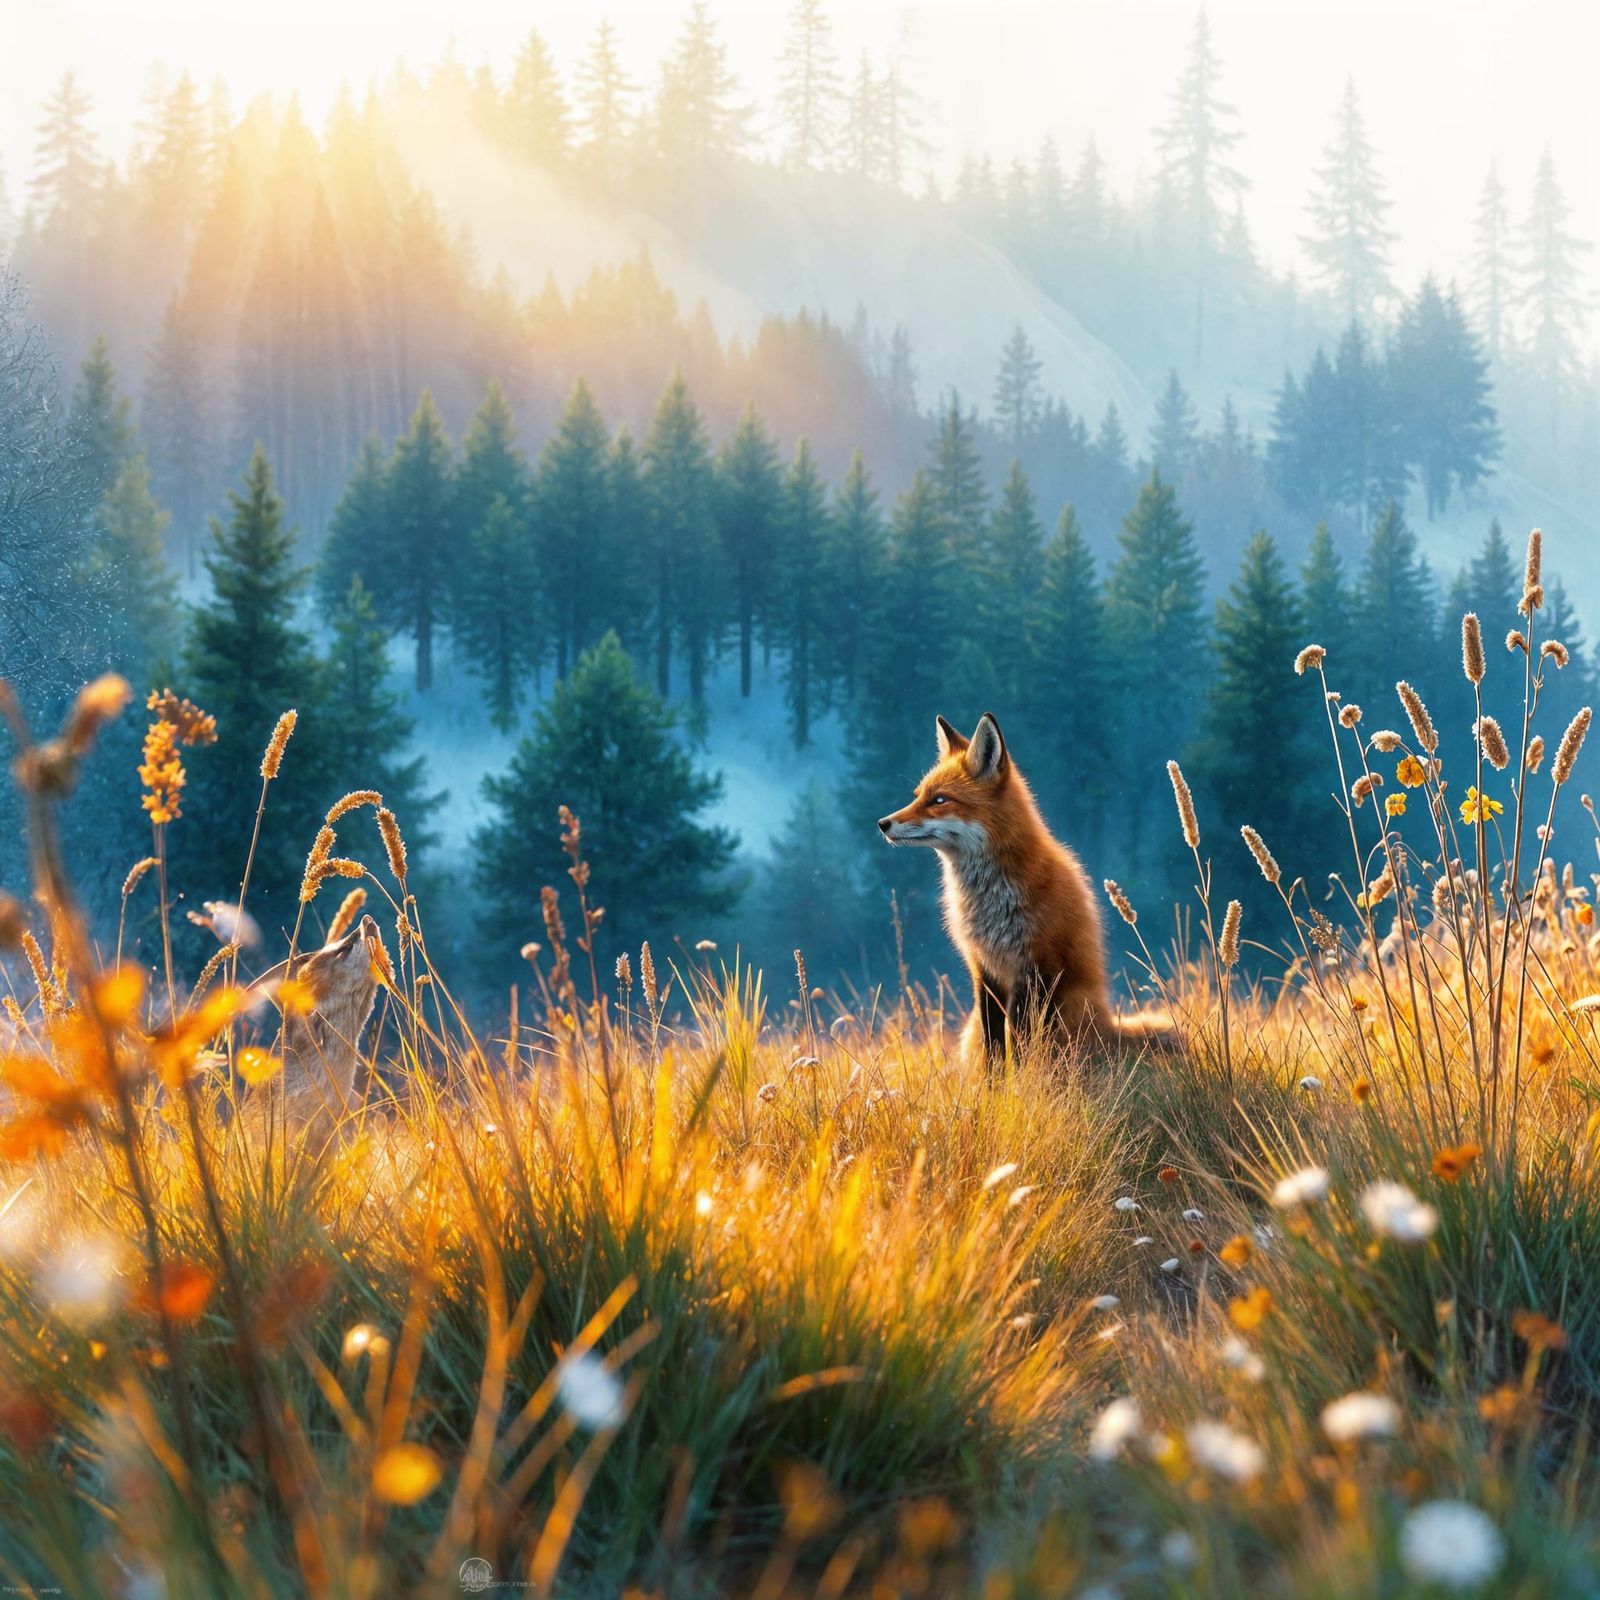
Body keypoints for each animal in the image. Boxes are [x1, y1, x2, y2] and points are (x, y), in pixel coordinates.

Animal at [877, 712, 1172, 1065]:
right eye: (918, 795)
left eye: (940, 800)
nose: (882, 823)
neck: (991, 901)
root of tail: (1109, 1025)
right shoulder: (985, 970)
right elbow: (994, 1048)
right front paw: (994, 1084)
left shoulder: (1035, 969)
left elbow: (1020, 1046)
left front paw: (1023, 1081)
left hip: (1069, 1009)